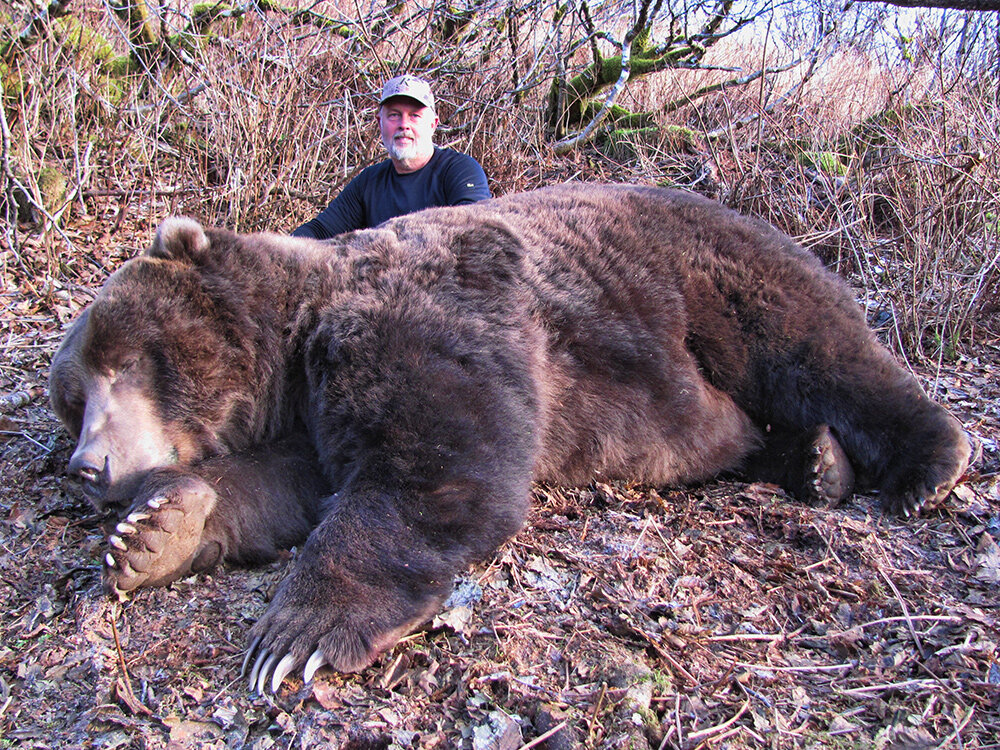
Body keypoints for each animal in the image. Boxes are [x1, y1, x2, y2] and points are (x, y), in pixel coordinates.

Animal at [47, 182, 968, 692]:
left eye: (120, 362)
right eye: (71, 399)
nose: (88, 467)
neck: (298, 336)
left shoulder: (429, 324)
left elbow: (439, 469)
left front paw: (294, 636)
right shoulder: (308, 416)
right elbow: (282, 485)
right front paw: (153, 533)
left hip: (708, 275)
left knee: (813, 343)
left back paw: (928, 465)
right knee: (744, 424)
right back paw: (815, 461)